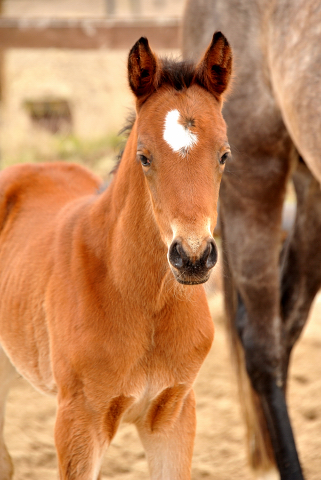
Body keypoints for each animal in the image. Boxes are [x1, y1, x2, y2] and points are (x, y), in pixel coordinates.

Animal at [0, 31, 231, 478]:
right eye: (144, 156)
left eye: (225, 155)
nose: (193, 257)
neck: (145, 302)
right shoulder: (78, 422)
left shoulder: (174, 414)